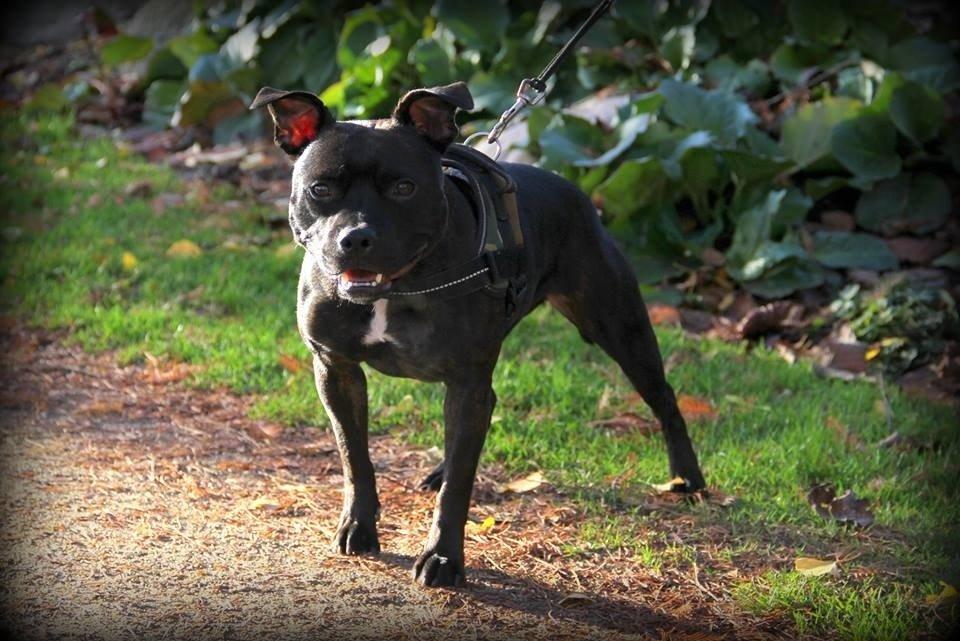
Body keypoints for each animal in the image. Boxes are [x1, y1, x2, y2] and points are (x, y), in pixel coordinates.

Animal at [251, 82, 704, 588]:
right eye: (321, 189)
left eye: (405, 188)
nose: (357, 237)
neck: (397, 288)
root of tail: (575, 191)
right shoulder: (337, 369)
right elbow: (356, 458)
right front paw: (359, 526)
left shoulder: (467, 379)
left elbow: (458, 487)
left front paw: (443, 558)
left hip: (619, 326)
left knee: (663, 397)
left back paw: (687, 476)